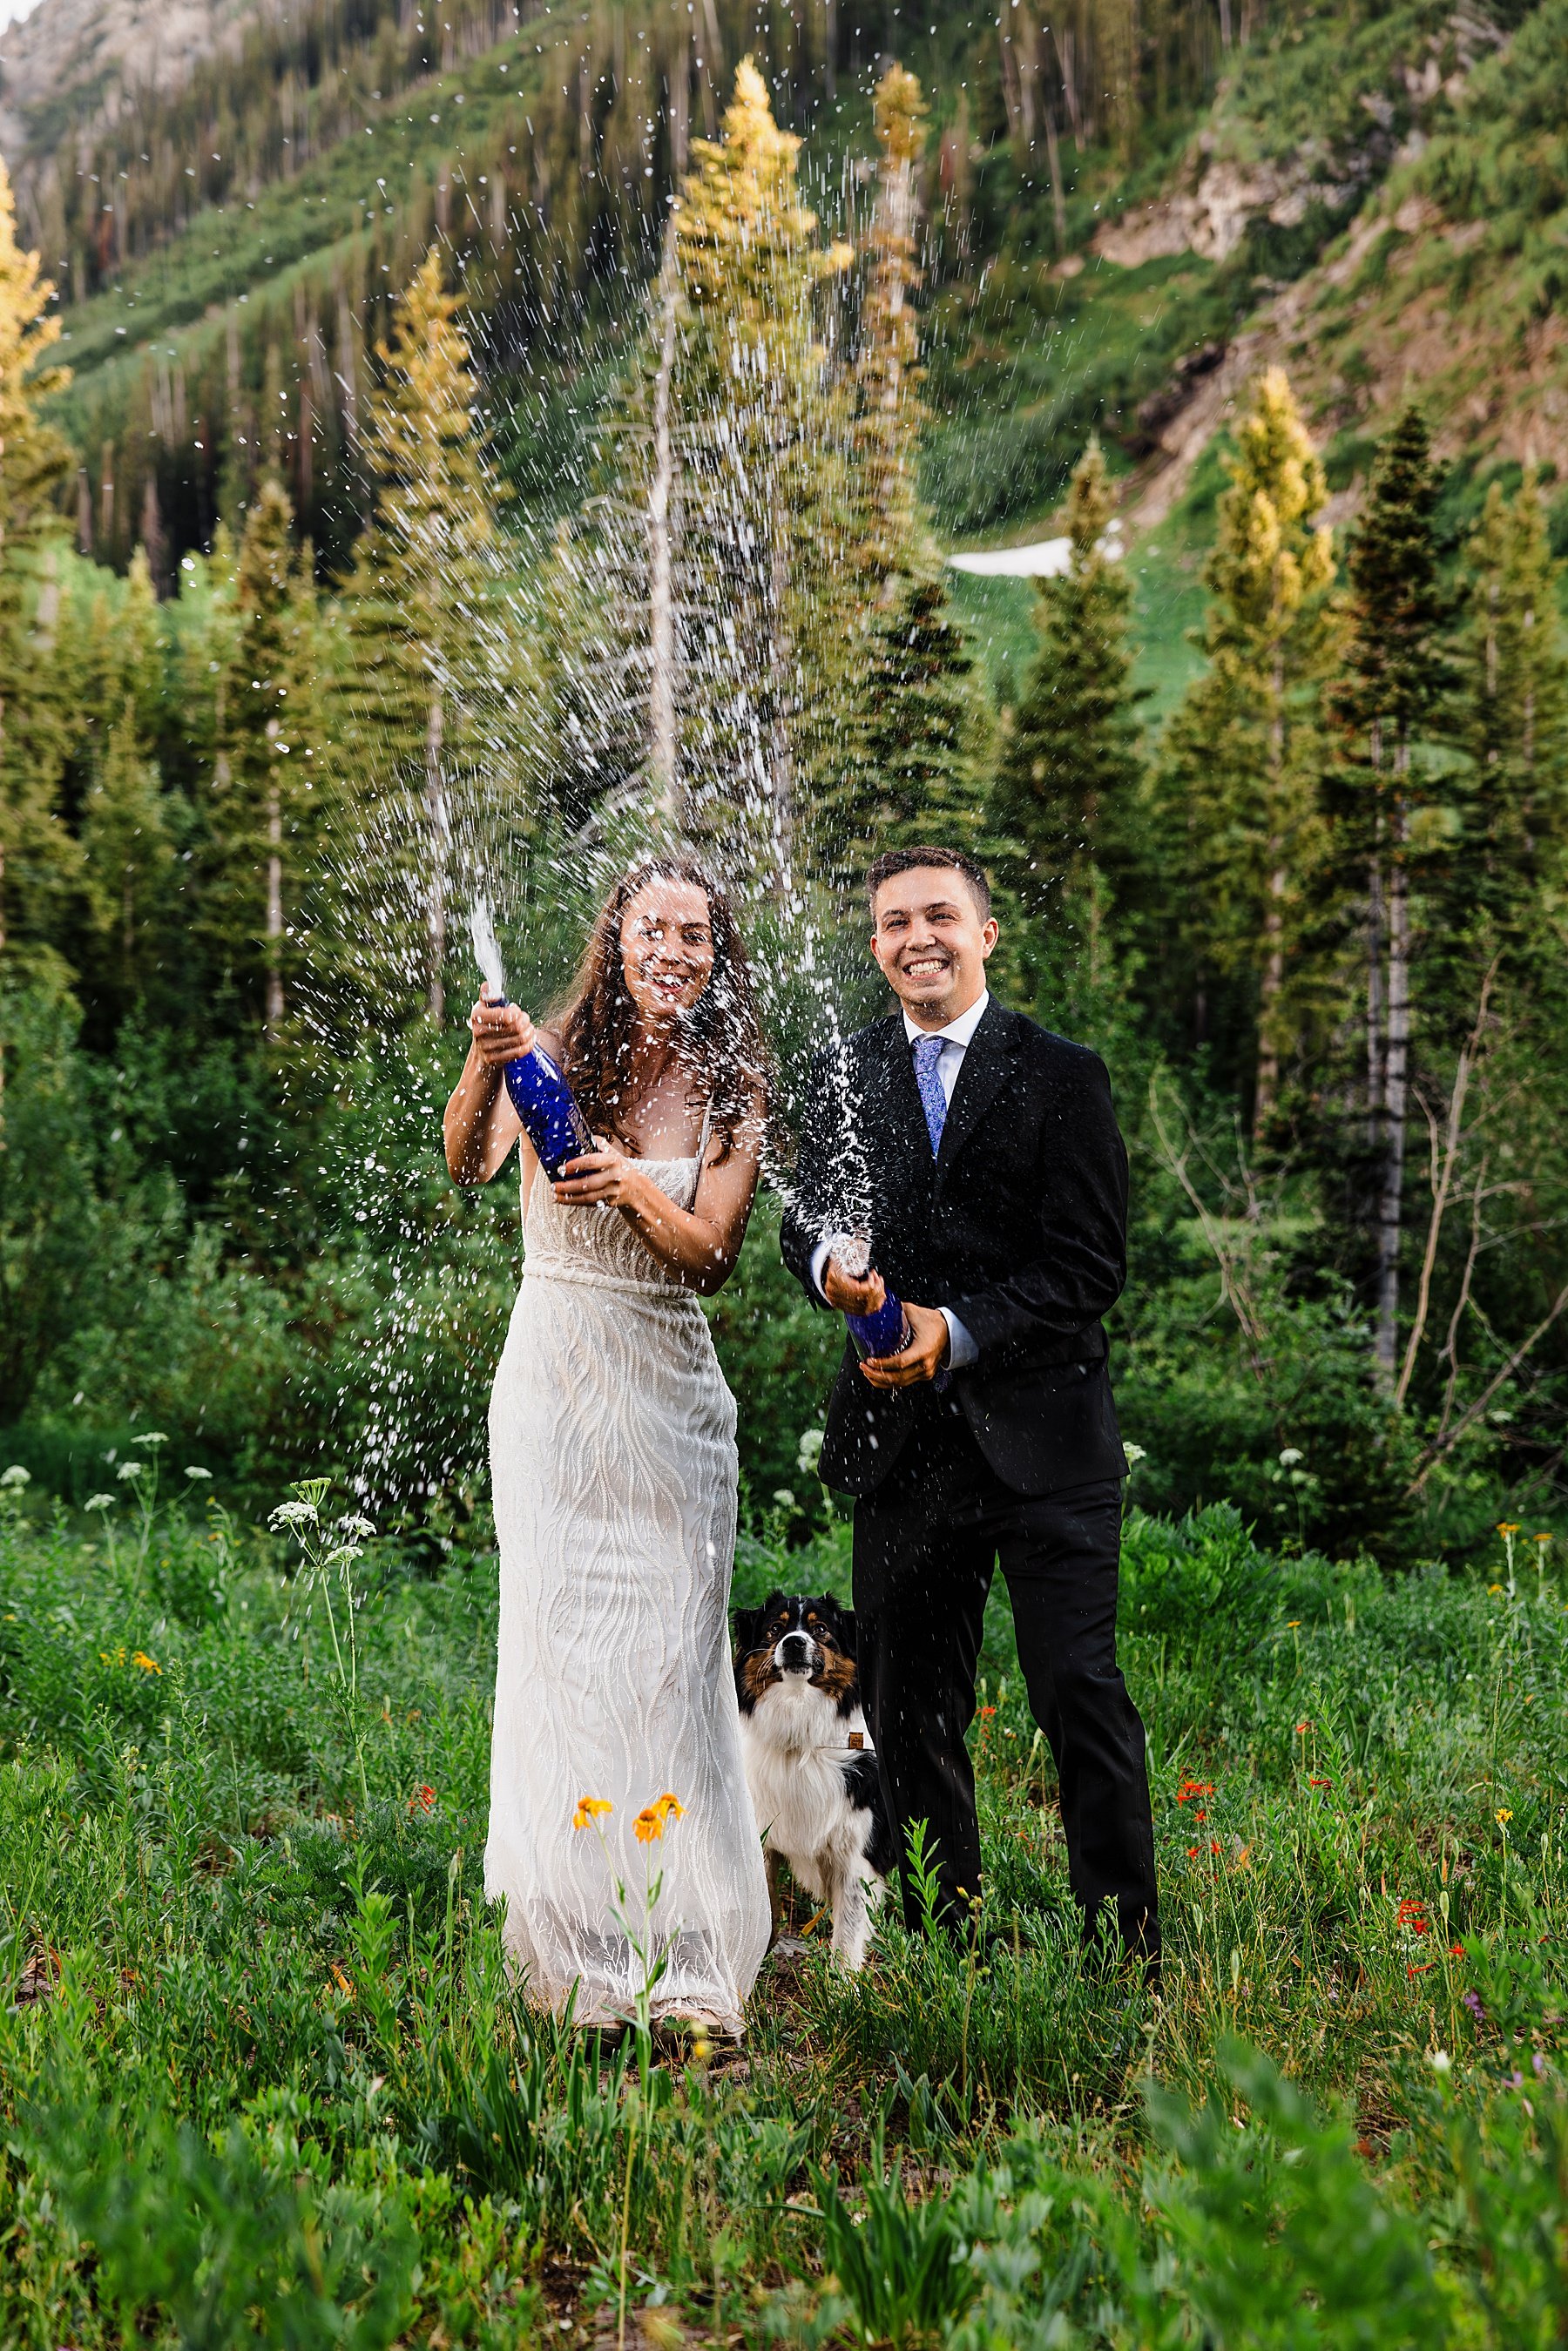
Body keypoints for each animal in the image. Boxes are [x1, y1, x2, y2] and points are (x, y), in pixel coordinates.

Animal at [738, 1598, 893, 1965]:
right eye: (775, 1629)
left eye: (820, 1628)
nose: (794, 1642)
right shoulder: (764, 1835)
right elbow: (766, 1902)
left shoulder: (858, 1849)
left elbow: (849, 1927)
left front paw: (843, 1979)